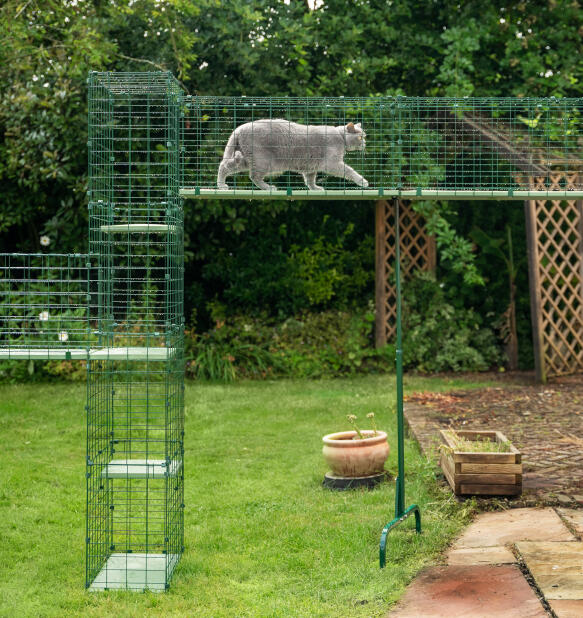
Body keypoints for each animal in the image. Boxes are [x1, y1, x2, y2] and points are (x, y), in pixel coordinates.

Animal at [217, 118, 368, 189]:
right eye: (360, 137)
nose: (365, 143)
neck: (340, 137)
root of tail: (239, 128)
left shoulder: (311, 166)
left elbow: (310, 179)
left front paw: (315, 188)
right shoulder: (332, 163)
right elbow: (349, 171)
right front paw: (362, 181)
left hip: (248, 159)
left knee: (225, 166)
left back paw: (221, 185)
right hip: (263, 161)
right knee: (254, 176)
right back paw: (269, 188)